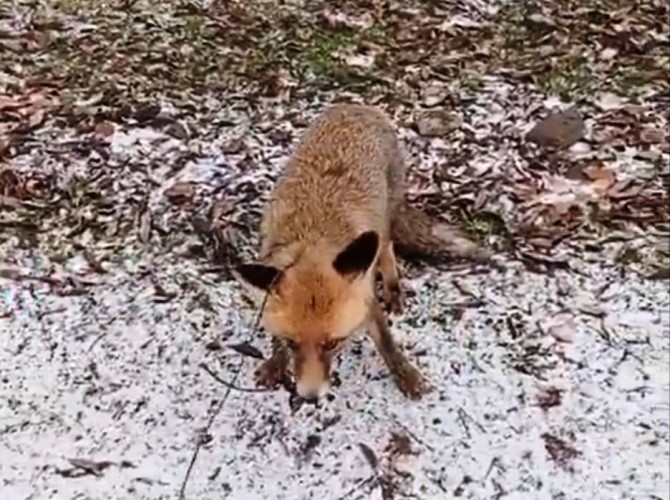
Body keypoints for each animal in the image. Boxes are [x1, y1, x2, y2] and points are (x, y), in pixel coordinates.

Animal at [234, 103, 480, 400]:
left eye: (333, 343)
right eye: (292, 343)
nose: (310, 397)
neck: (312, 241)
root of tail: (356, 106)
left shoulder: (365, 299)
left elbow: (386, 343)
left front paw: (406, 374)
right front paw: (275, 361)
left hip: (384, 223)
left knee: (387, 249)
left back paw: (393, 289)